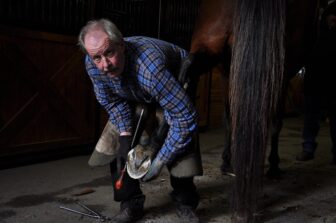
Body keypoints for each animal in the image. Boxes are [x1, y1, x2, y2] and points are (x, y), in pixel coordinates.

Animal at [180, 0, 322, 222]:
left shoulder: (226, 71)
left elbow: (229, 118)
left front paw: (226, 163)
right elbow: (273, 123)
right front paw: (273, 166)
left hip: (210, 46)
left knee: (189, 68)